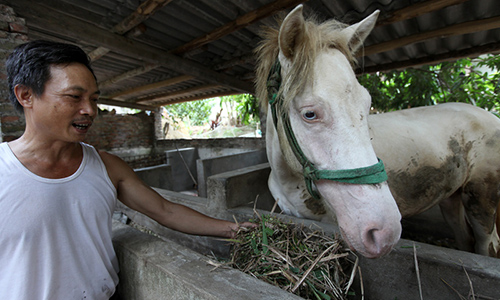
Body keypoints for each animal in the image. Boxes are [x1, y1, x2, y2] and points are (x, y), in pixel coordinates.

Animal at [256, 4, 500, 258]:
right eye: (310, 114)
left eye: (367, 103)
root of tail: (491, 116)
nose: (384, 232)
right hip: (451, 198)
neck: (288, 180)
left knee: (487, 243)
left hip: (482, 197)